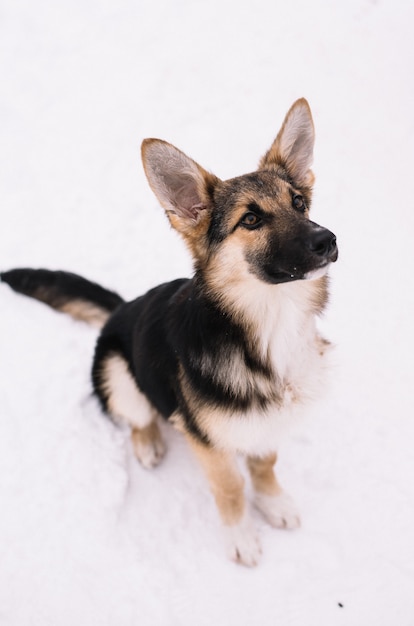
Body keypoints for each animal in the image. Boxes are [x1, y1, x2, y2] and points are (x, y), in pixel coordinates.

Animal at [2, 98, 336, 564]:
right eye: (251, 218)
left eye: (300, 202)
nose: (328, 240)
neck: (269, 321)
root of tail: (122, 308)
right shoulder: (207, 440)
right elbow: (230, 485)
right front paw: (241, 535)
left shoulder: (269, 418)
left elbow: (264, 463)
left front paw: (273, 501)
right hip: (119, 374)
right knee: (137, 417)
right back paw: (148, 443)